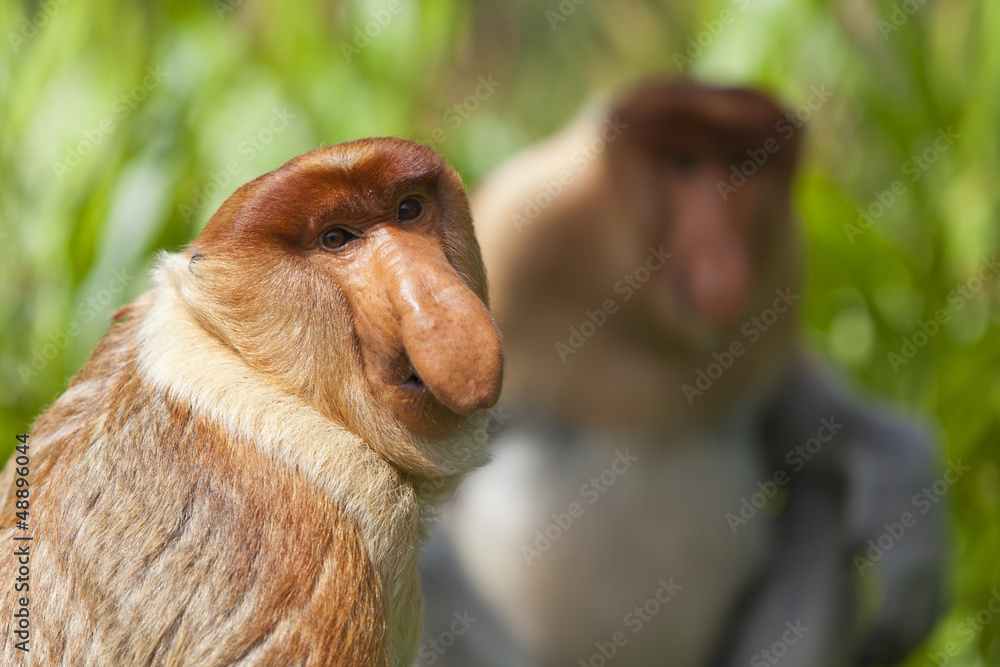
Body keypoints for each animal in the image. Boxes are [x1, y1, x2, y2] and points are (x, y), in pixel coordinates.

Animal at [416, 80, 946, 666]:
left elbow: (787, 414)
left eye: (744, 166)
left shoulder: (782, 270)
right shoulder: (515, 234)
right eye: (683, 163)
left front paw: (904, 479)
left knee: (824, 491)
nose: (719, 257)